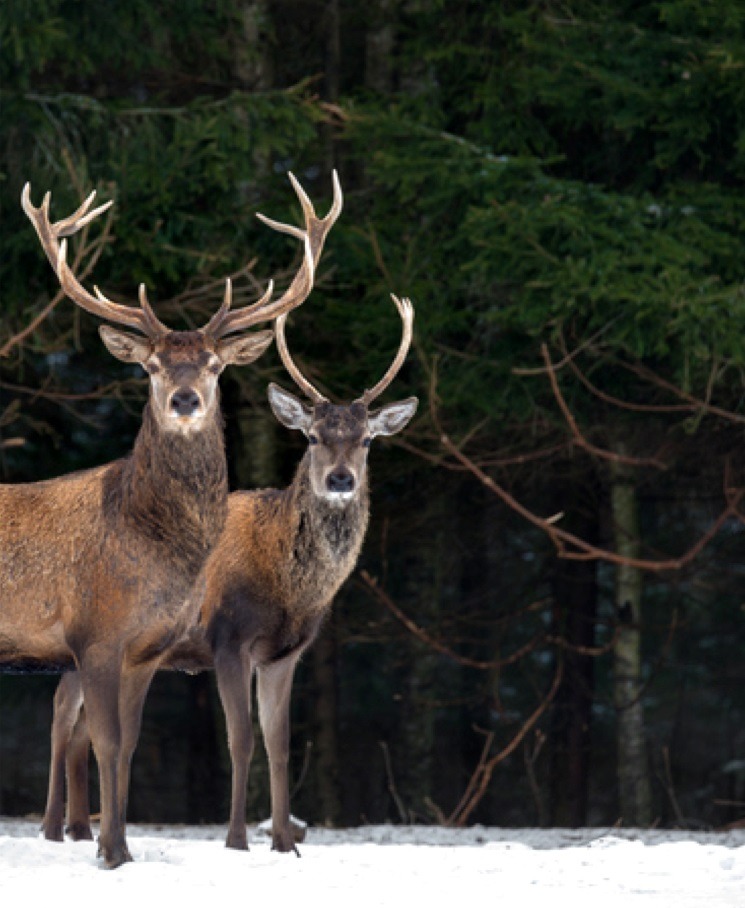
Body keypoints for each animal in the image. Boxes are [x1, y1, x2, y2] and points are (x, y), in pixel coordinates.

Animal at [0, 170, 342, 864]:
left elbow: (126, 746)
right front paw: (109, 853)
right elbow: (106, 742)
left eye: (214, 364)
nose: (185, 399)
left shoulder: (145, 648)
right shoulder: (97, 633)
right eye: (152, 365)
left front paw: (119, 848)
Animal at [40, 294, 416, 856]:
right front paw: (237, 839)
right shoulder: (227, 638)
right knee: (63, 715)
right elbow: (241, 740)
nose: (340, 479)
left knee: (83, 727)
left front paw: (285, 842)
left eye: (368, 440)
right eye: (311, 437)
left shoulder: (285, 654)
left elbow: (280, 744)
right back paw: (52, 829)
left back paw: (83, 830)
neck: (290, 589)